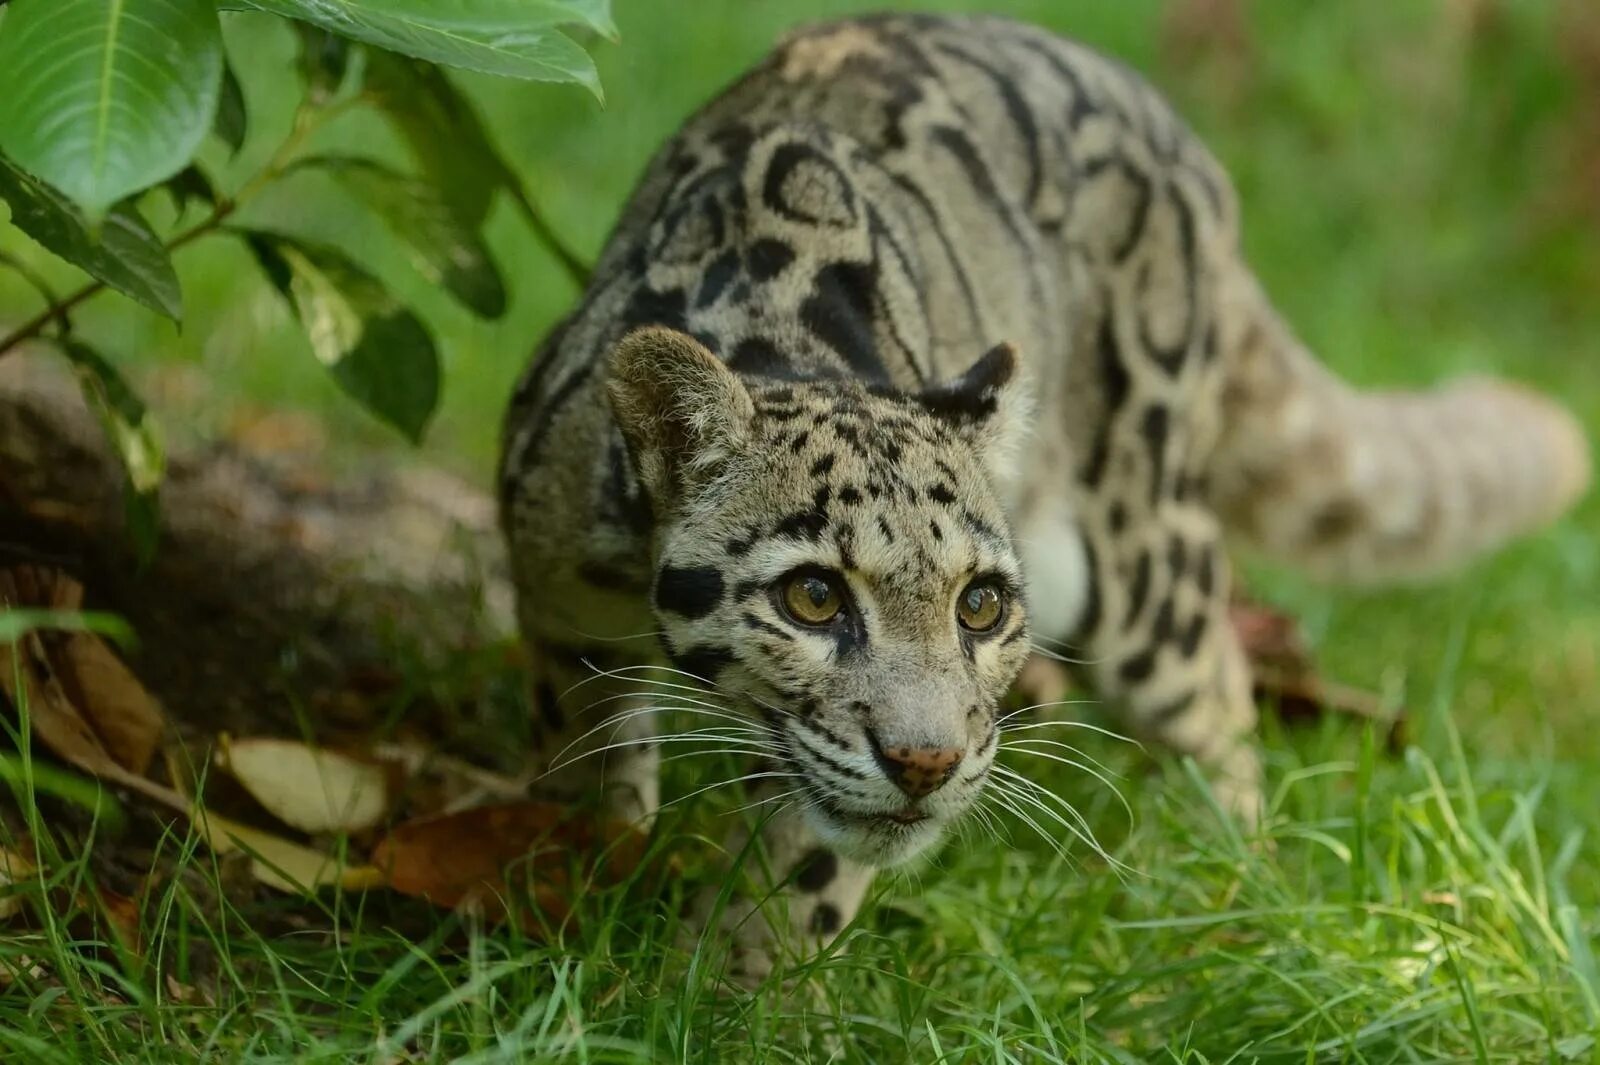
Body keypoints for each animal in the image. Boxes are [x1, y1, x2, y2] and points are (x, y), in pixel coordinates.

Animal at [496, 12, 1587, 972]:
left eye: (979, 605)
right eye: (812, 594)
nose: (927, 763)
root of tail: (1184, 146)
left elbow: (804, 869)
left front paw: (739, 991)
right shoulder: (557, 604)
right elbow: (587, 750)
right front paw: (591, 868)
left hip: (1137, 556)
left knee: (1218, 682)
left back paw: (1228, 878)